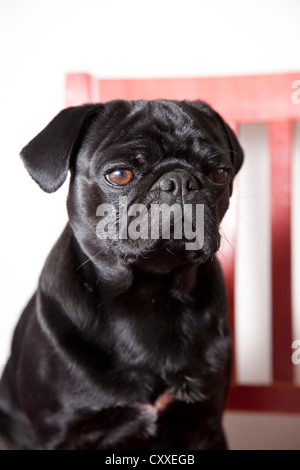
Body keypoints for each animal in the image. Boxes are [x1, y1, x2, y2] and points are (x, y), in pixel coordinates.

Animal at [0, 99, 244, 448]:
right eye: (119, 174)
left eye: (219, 173)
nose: (179, 181)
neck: (147, 294)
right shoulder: (64, 434)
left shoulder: (205, 425)